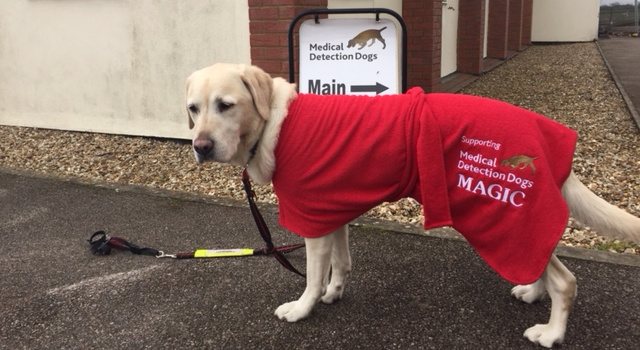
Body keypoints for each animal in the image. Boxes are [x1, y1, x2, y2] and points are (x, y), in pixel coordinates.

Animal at [184, 63, 640, 348]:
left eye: (226, 105)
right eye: (193, 108)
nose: (200, 146)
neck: (275, 122)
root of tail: (544, 135)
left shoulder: (312, 220)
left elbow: (312, 277)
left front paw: (302, 309)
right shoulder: (333, 212)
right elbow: (341, 265)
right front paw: (334, 293)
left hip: (499, 216)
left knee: (566, 280)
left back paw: (552, 332)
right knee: (542, 257)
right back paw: (531, 290)